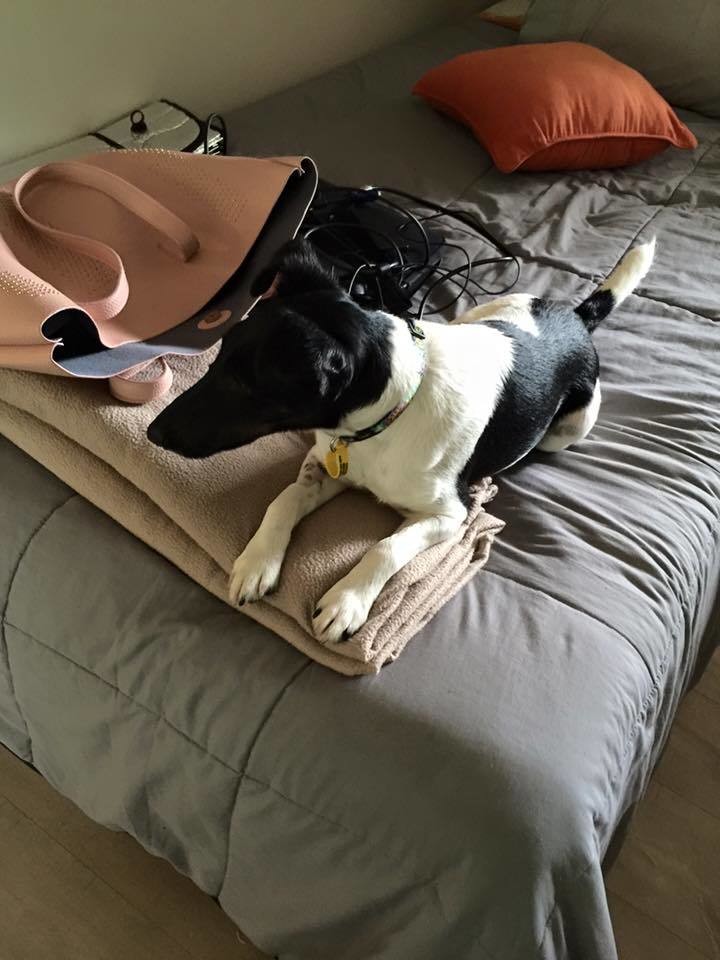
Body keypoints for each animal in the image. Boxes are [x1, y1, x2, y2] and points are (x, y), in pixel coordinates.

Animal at [148, 237, 655, 644]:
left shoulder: (451, 515)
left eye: (244, 385)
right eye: (216, 358)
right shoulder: (325, 465)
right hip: (477, 316)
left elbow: (385, 547)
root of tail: (576, 317)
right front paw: (258, 561)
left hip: (571, 427)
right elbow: (283, 499)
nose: (152, 432)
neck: (390, 414)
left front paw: (347, 602)